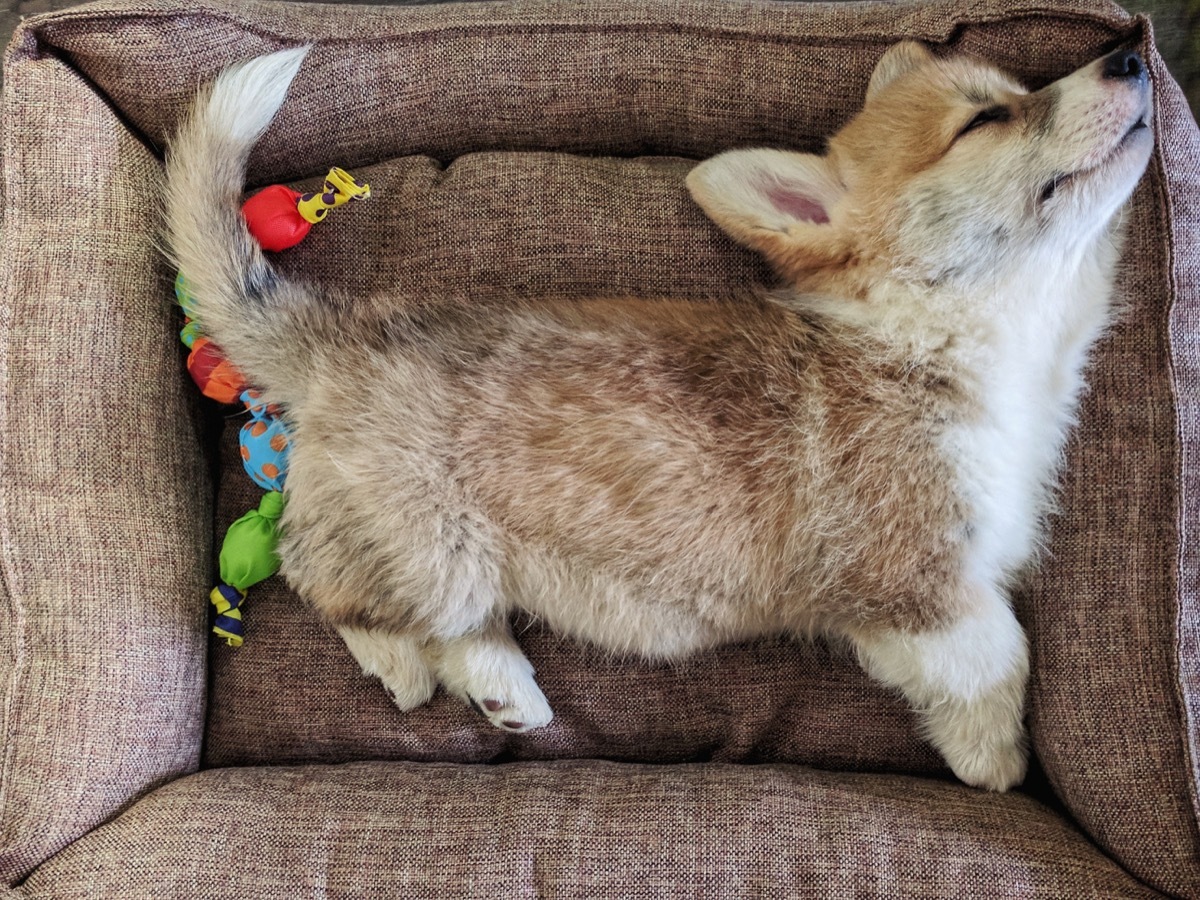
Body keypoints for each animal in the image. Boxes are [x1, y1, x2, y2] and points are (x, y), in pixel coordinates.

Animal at [169, 40, 1152, 787]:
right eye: (986, 120)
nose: (1133, 52)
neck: (944, 335)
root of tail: (338, 337)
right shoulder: (916, 585)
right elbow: (1002, 655)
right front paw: (996, 762)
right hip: (430, 552)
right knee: (323, 576)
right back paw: (406, 668)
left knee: (443, 624)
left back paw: (502, 690)